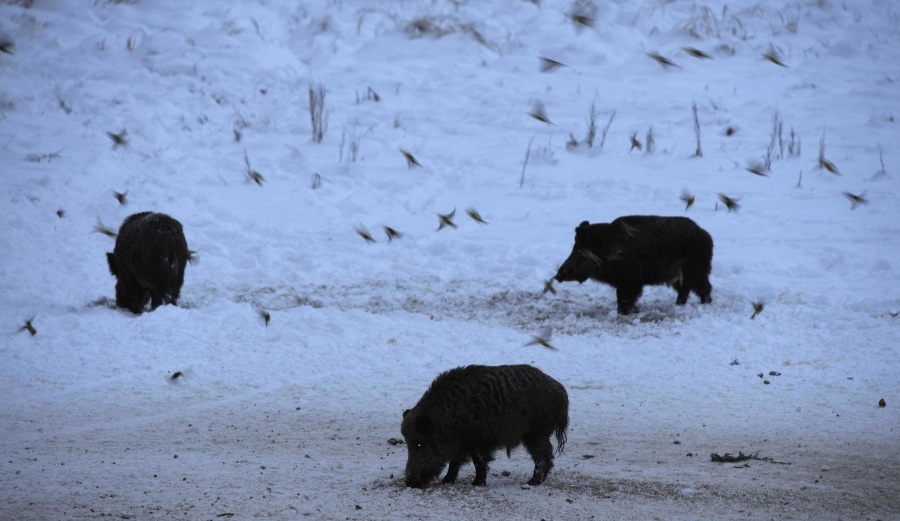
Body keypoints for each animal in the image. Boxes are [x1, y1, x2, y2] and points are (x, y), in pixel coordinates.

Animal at [401, 364, 568, 488]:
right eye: (407, 444)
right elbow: (455, 462)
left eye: (419, 443)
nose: (409, 482)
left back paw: (531, 482)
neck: (447, 420)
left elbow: (479, 461)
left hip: (536, 432)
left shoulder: (477, 440)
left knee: (544, 455)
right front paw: (447, 481)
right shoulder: (461, 444)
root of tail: (560, 390)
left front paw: (476, 483)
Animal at [555, 215, 713, 315]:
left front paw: (625, 313)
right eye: (574, 248)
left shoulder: (631, 280)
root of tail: (706, 235)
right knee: (686, 289)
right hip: (679, 277)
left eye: (580, 251)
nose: (558, 275)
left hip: (697, 271)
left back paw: (705, 304)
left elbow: (624, 298)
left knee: (705, 288)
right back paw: (678, 305)